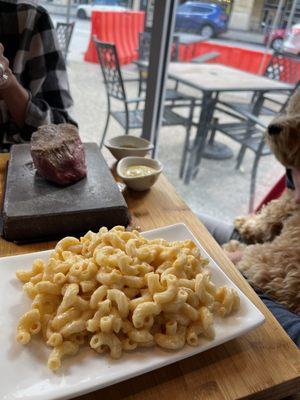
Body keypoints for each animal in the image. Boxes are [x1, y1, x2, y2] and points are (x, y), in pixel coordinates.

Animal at [224, 88, 300, 316]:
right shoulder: (290, 201)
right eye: (295, 106)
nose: (273, 127)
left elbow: (265, 218)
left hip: (264, 261)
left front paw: (243, 224)